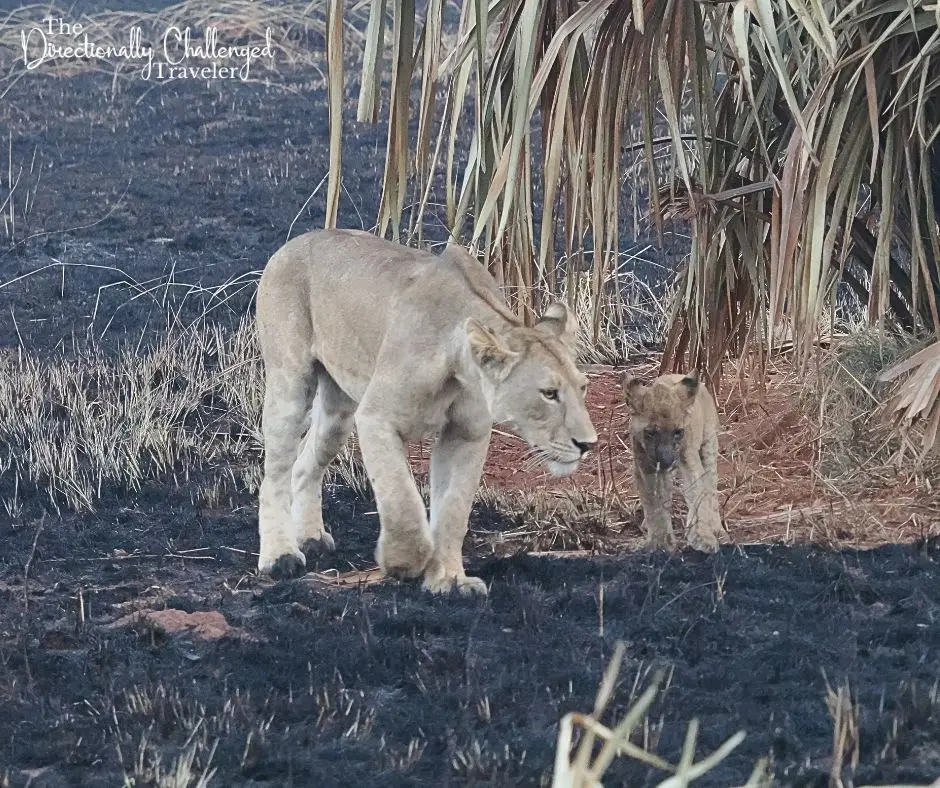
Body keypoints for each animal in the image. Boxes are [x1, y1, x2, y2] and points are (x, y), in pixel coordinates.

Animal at [255, 229, 598, 595]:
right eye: (549, 393)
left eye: (583, 387)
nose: (587, 444)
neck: (459, 366)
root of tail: (298, 240)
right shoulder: (377, 418)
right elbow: (401, 498)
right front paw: (402, 562)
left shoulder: (467, 433)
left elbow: (454, 510)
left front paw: (449, 580)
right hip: (290, 385)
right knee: (274, 475)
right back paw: (279, 556)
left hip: (338, 412)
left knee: (305, 463)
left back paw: (310, 537)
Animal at [621, 372, 722, 553]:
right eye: (650, 432)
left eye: (678, 432)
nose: (666, 459)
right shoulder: (645, 466)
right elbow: (653, 503)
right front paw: (660, 541)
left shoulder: (689, 460)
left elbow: (698, 494)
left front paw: (703, 537)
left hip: (709, 444)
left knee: (711, 485)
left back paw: (716, 526)